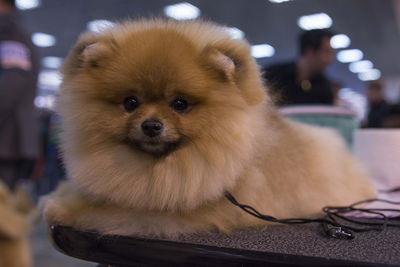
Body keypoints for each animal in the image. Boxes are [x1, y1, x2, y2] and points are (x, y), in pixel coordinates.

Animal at [42, 18, 376, 237]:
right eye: (130, 102)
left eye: (179, 104)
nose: (151, 125)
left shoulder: (175, 212)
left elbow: (109, 213)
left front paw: (61, 207)